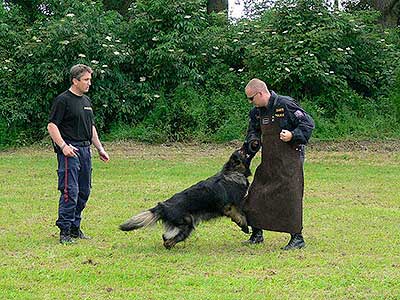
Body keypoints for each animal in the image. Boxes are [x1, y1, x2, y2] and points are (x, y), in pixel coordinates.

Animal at [119, 149, 250, 250]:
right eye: (241, 152)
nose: (245, 146)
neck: (232, 172)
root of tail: (162, 206)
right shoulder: (230, 207)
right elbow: (241, 216)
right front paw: (244, 227)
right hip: (187, 223)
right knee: (170, 240)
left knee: (165, 237)